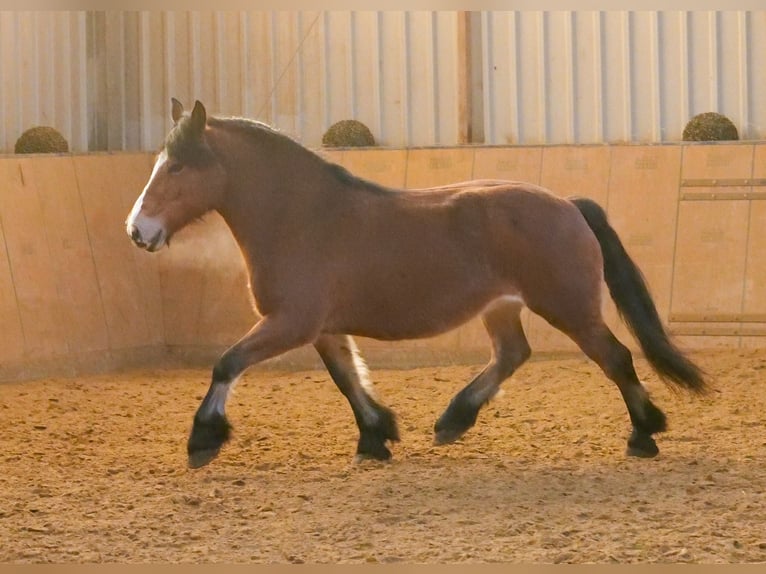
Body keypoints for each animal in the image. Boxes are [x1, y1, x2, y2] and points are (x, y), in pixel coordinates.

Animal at [126, 98, 708, 468]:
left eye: (176, 168)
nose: (138, 231)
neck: (302, 217)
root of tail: (568, 204)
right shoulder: (322, 328)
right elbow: (347, 379)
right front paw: (376, 437)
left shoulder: (290, 322)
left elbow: (227, 363)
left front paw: (203, 438)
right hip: (503, 307)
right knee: (512, 354)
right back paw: (453, 419)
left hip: (569, 308)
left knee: (616, 358)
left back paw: (644, 435)